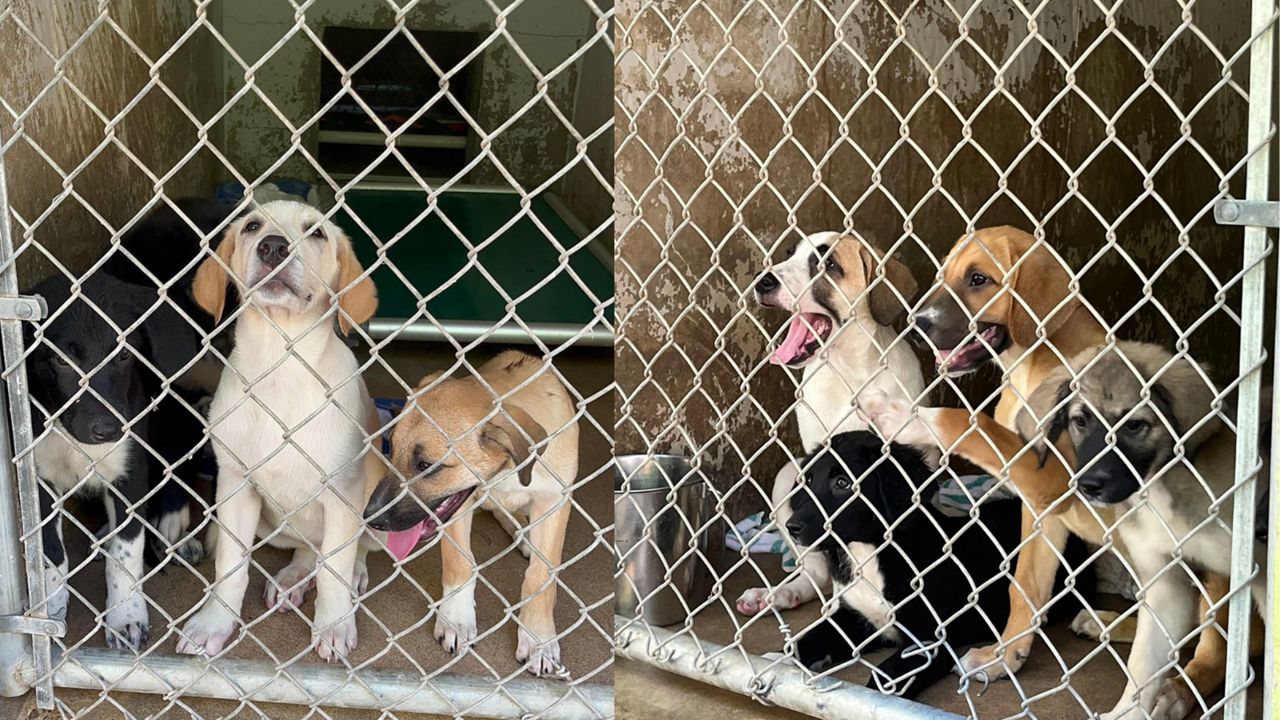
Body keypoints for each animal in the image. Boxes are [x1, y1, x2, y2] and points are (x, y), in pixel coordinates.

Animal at [27, 270, 206, 650]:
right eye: (61, 360)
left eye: (124, 354)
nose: (108, 429)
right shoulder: (39, 476)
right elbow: (51, 551)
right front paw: (50, 607)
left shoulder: (131, 471)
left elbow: (126, 555)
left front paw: (126, 615)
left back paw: (174, 531)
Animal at [180, 198, 378, 661]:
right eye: (252, 226)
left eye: (317, 232)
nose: (273, 247)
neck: (280, 362)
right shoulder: (235, 485)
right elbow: (231, 567)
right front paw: (214, 623)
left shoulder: (343, 493)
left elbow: (335, 569)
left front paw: (334, 625)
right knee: (308, 551)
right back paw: (291, 581)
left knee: (349, 551)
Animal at [363, 351, 578, 676]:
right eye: (392, 448)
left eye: (425, 465)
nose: (370, 518)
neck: (506, 470)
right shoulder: (458, 506)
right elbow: (459, 563)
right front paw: (456, 619)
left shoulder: (555, 500)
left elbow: (541, 576)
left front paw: (538, 638)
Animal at [737, 230, 926, 609]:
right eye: (789, 254)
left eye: (828, 265)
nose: (763, 281)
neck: (848, 369)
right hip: (786, 477)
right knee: (816, 570)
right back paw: (783, 593)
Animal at [788, 427, 1090, 696]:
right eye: (808, 481)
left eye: (842, 483)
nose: (791, 527)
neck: (871, 553)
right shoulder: (854, 617)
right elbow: (803, 643)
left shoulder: (932, 640)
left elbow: (884, 681)